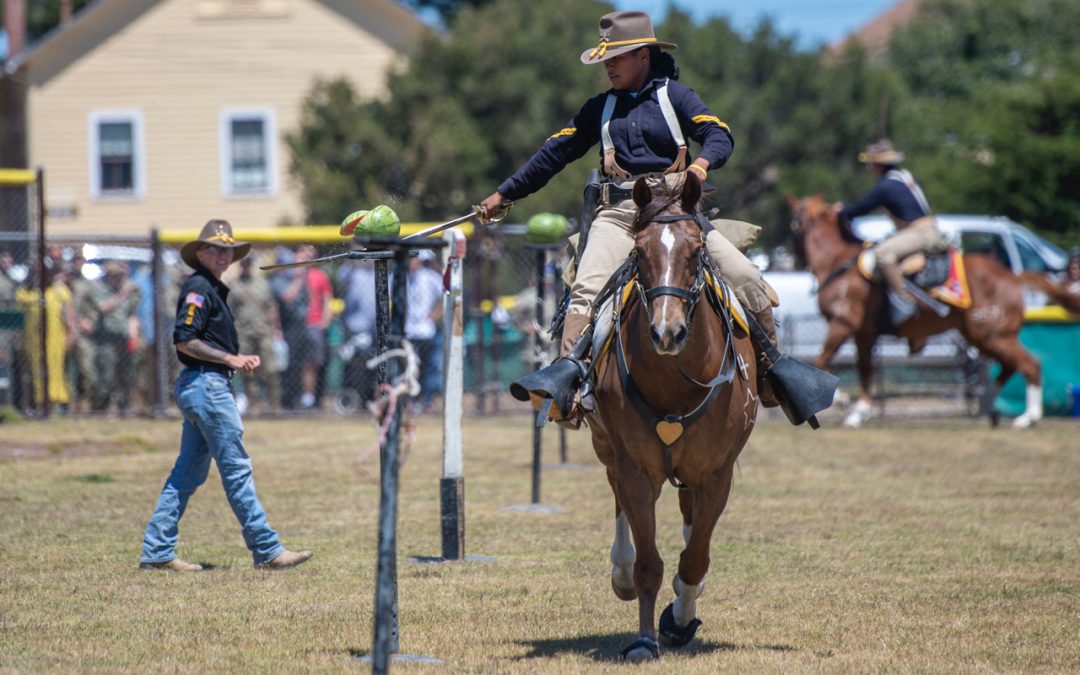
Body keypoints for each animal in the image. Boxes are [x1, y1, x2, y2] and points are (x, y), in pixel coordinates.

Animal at [587, 173, 756, 665]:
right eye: (640, 253)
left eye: (696, 251)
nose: (667, 332)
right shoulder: (636, 468)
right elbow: (649, 563)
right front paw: (645, 639)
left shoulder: (717, 473)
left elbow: (695, 556)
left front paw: (680, 618)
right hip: (607, 448)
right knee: (619, 500)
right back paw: (621, 572)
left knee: (689, 521)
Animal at [790, 193, 1041, 425]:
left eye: (793, 224)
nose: (795, 259)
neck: (838, 261)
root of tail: (1012, 275)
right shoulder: (864, 335)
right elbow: (865, 371)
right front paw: (860, 413)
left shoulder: (842, 324)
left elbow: (822, 361)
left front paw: (844, 401)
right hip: (981, 337)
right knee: (1011, 366)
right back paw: (992, 405)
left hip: (993, 335)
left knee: (1029, 364)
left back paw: (1028, 417)